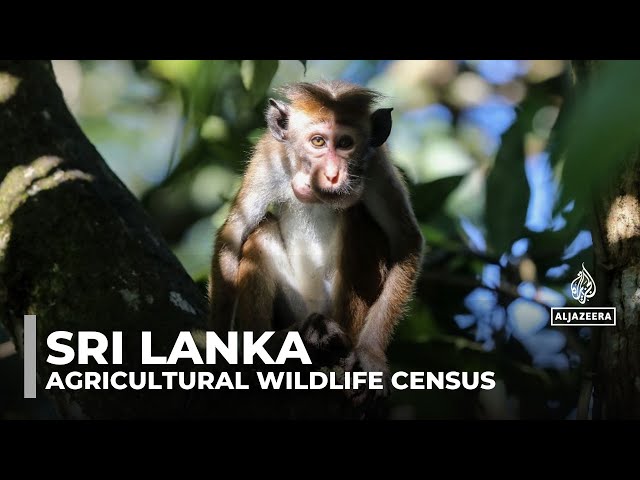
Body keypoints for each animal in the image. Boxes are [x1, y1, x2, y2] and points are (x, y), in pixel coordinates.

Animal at [208, 79, 422, 402]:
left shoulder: (377, 165)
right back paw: (281, 342)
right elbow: (236, 232)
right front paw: (221, 353)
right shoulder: (269, 154)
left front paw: (370, 356)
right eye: (318, 142)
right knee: (261, 232)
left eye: (345, 144)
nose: (333, 175)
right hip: (295, 305)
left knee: (358, 221)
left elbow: (405, 241)